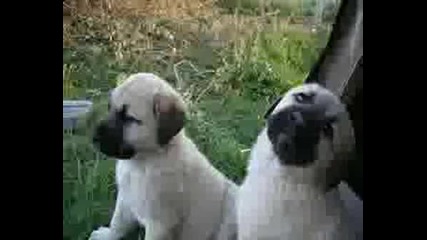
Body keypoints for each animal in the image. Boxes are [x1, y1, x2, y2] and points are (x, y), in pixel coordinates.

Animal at [89, 73, 239, 240]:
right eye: (109, 108)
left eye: (129, 118)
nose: (94, 137)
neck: (143, 162)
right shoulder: (126, 198)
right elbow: (118, 222)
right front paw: (107, 235)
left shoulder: (159, 223)